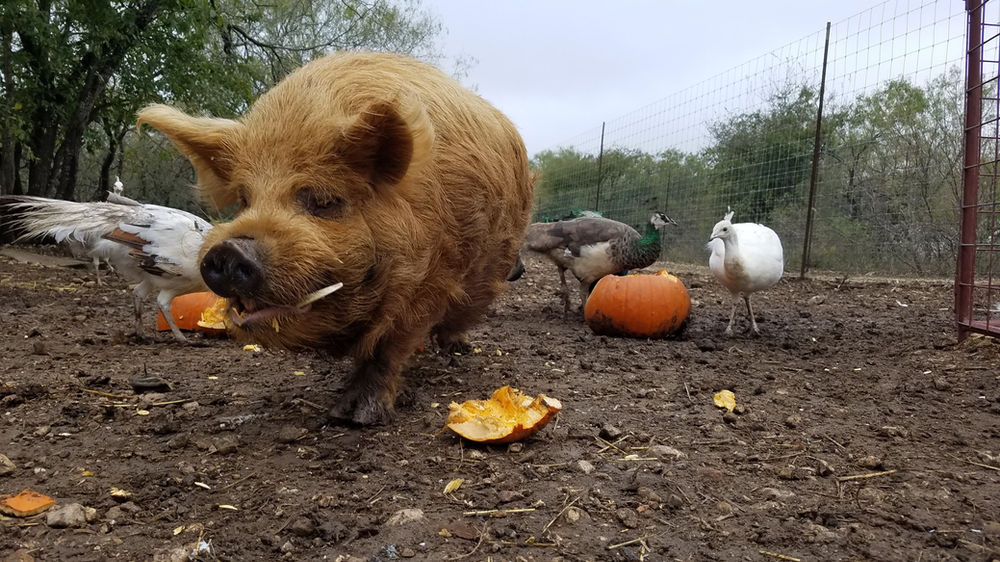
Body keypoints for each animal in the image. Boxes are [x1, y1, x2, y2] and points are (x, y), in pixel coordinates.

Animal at [136, 52, 534, 424]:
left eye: (325, 201)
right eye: (245, 199)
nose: (229, 250)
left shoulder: (435, 276)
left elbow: (389, 347)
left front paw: (354, 417)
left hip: (493, 260)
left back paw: (455, 350)